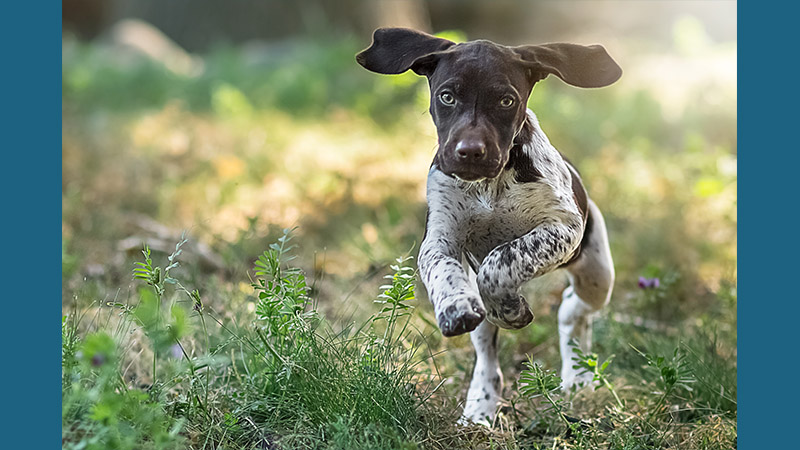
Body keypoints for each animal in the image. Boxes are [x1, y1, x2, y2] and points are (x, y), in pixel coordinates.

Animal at [358, 27, 624, 426]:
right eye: (447, 96)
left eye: (506, 100)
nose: (470, 152)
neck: (489, 186)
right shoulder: (439, 240)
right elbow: (445, 271)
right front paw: (455, 307)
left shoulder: (563, 227)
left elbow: (501, 260)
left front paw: (510, 309)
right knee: (487, 353)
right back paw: (479, 406)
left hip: (596, 272)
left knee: (571, 311)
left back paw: (577, 375)